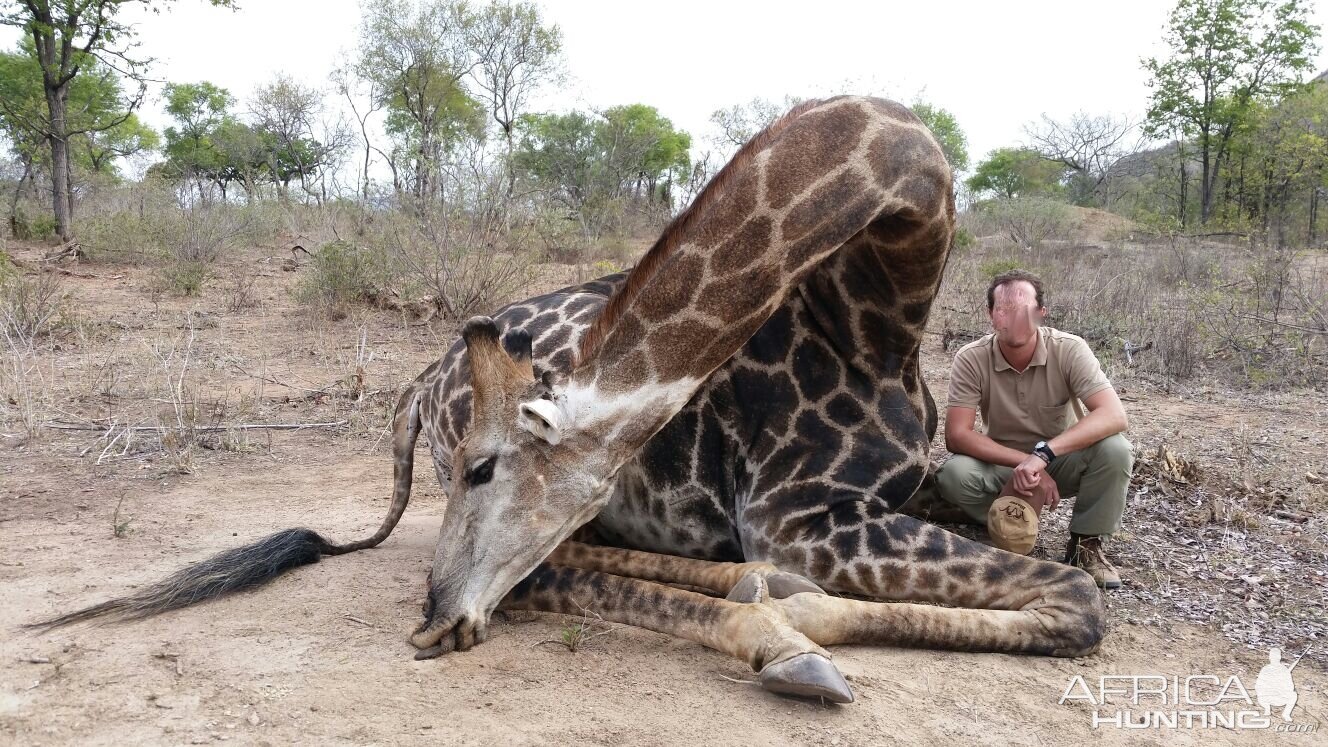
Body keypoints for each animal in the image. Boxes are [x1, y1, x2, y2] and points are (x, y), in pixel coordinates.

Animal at [33, 95, 1110, 701]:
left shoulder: (879, 497)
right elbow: (1078, 599)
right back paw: (771, 630)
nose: (430, 619)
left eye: (488, 466)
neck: (882, 308)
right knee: (548, 576)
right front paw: (803, 621)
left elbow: (1052, 575)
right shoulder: (802, 515)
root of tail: (418, 386)